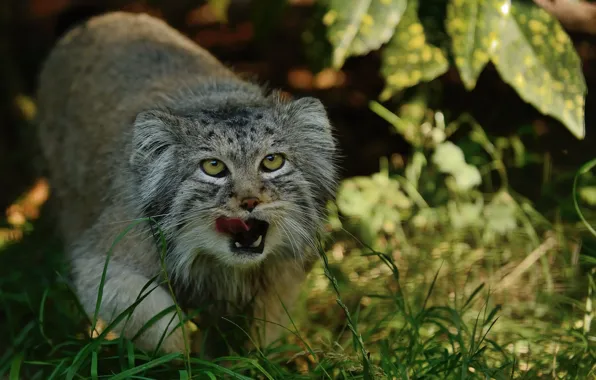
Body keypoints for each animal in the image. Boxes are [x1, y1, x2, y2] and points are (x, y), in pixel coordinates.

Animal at [35, 11, 338, 354]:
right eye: (213, 167)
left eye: (272, 161)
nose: (249, 201)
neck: (220, 266)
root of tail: (102, 16)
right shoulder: (101, 261)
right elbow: (158, 320)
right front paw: (186, 359)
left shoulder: (286, 268)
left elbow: (271, 326)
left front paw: (261, 358)